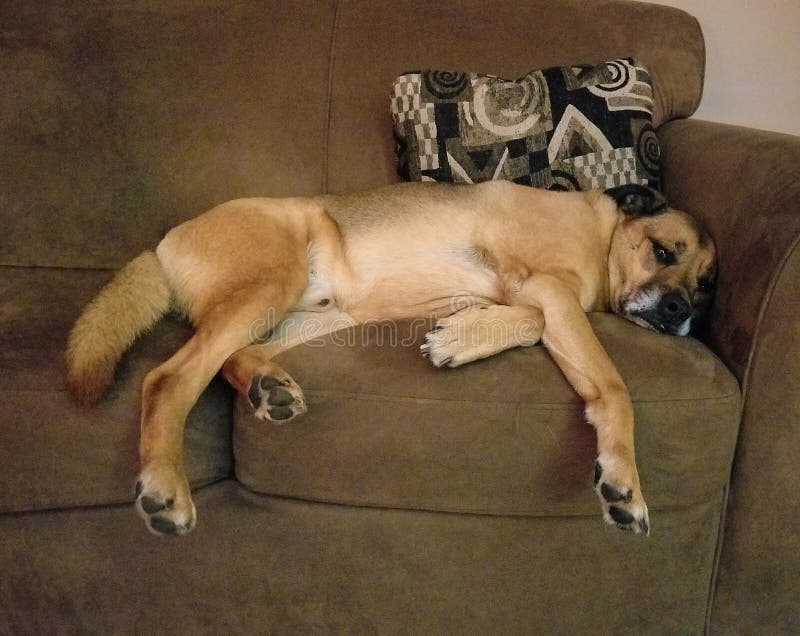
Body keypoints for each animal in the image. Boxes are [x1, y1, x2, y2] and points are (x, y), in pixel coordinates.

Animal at [67, 179, 720, 536]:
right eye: (663, 251)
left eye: (707, 285)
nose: (680, 311)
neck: (602, 233)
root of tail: (161, 243)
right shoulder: (546, 289)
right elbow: (611, 385)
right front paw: (624, 480)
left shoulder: (534, 294)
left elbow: (528, 323)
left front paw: (463, 332)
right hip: (270, 283)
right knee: (168, 377)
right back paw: (164, 486)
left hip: (318, 315)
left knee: (234, 357)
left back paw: (267, 387)